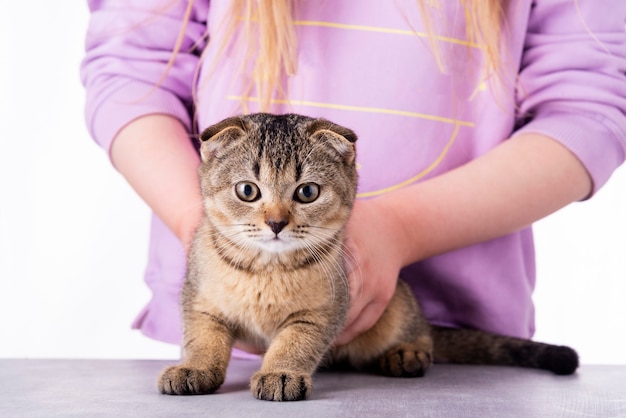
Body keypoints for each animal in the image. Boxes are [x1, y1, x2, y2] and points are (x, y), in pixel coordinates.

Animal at [156, 113, 576, 402]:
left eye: (307, 192)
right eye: (247, 190)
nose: (276, 222)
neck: (266, 270)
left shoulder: (324, 311)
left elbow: (294, 344)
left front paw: (281, 373)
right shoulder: (199, 302)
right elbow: (202, 339)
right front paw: (193, 368)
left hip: (398, 307)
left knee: (423, 331)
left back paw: (409, 353)